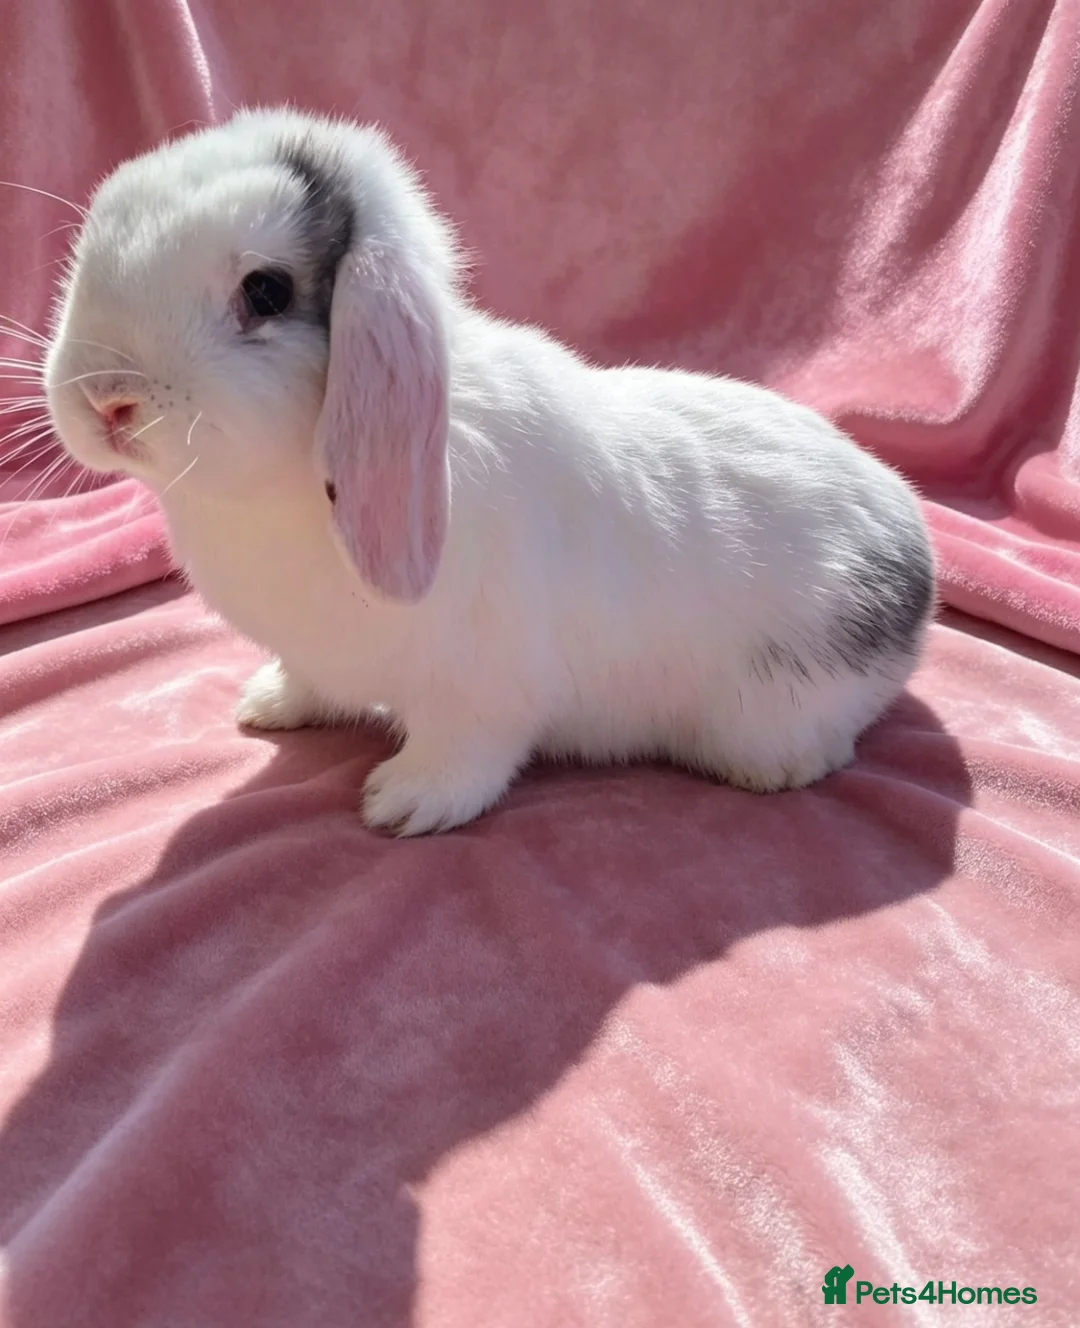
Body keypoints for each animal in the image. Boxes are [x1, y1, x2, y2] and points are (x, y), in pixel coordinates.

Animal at [44, 107, 935, 836]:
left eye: (265, 291)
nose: (107, 398)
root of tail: (916, 554)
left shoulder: (483, 688)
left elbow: (467, 751)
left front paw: (402, 804)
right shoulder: (318, 655)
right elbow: (307, 680)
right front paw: (267, 705)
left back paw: (771, 771)